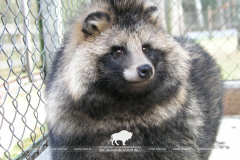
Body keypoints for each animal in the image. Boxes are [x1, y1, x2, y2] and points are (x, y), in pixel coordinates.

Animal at [45, 0, 223, 160]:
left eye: (145, 48)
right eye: (118, 51)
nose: (145, 69)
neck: (125, 100)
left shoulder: (175, 128)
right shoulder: (71, 132)